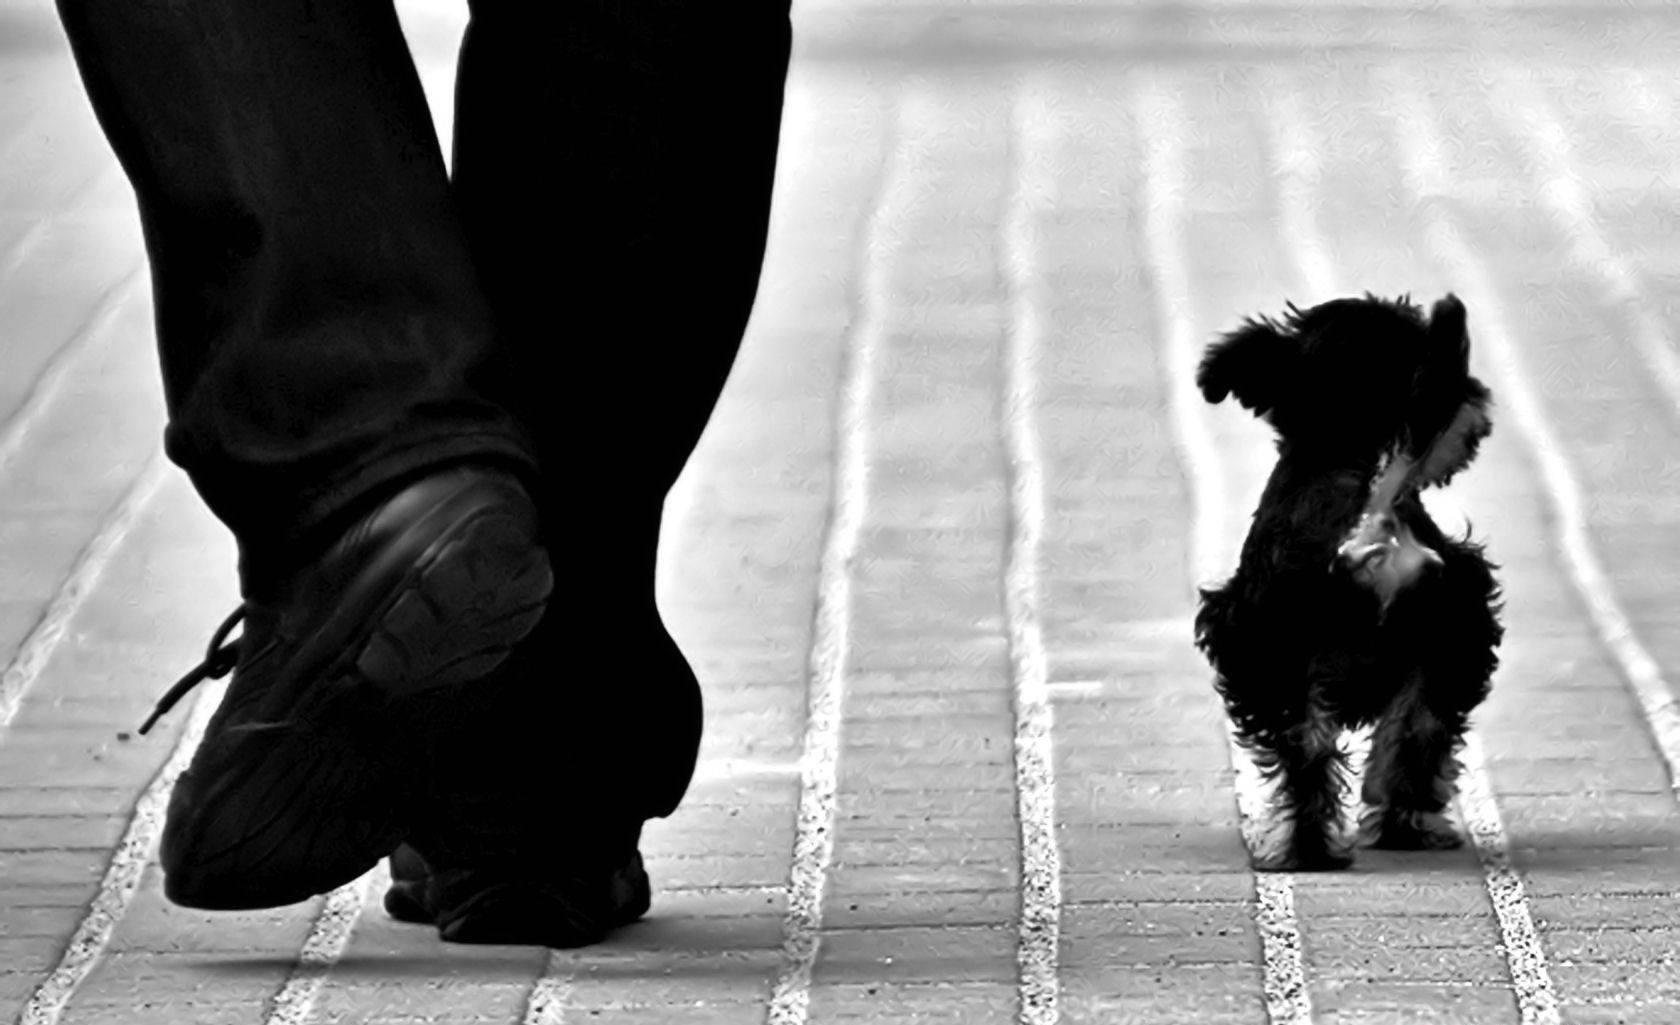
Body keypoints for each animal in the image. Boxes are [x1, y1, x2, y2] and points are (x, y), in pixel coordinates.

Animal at [1196, 290, 1512, 867]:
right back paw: (1377, 834)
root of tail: (1371, 520)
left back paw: (1319, 846)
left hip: (1288, 659)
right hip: (1443, 638)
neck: (1338, 453)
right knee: (1409, 737)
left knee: (1321, 753)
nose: (1475, 401)